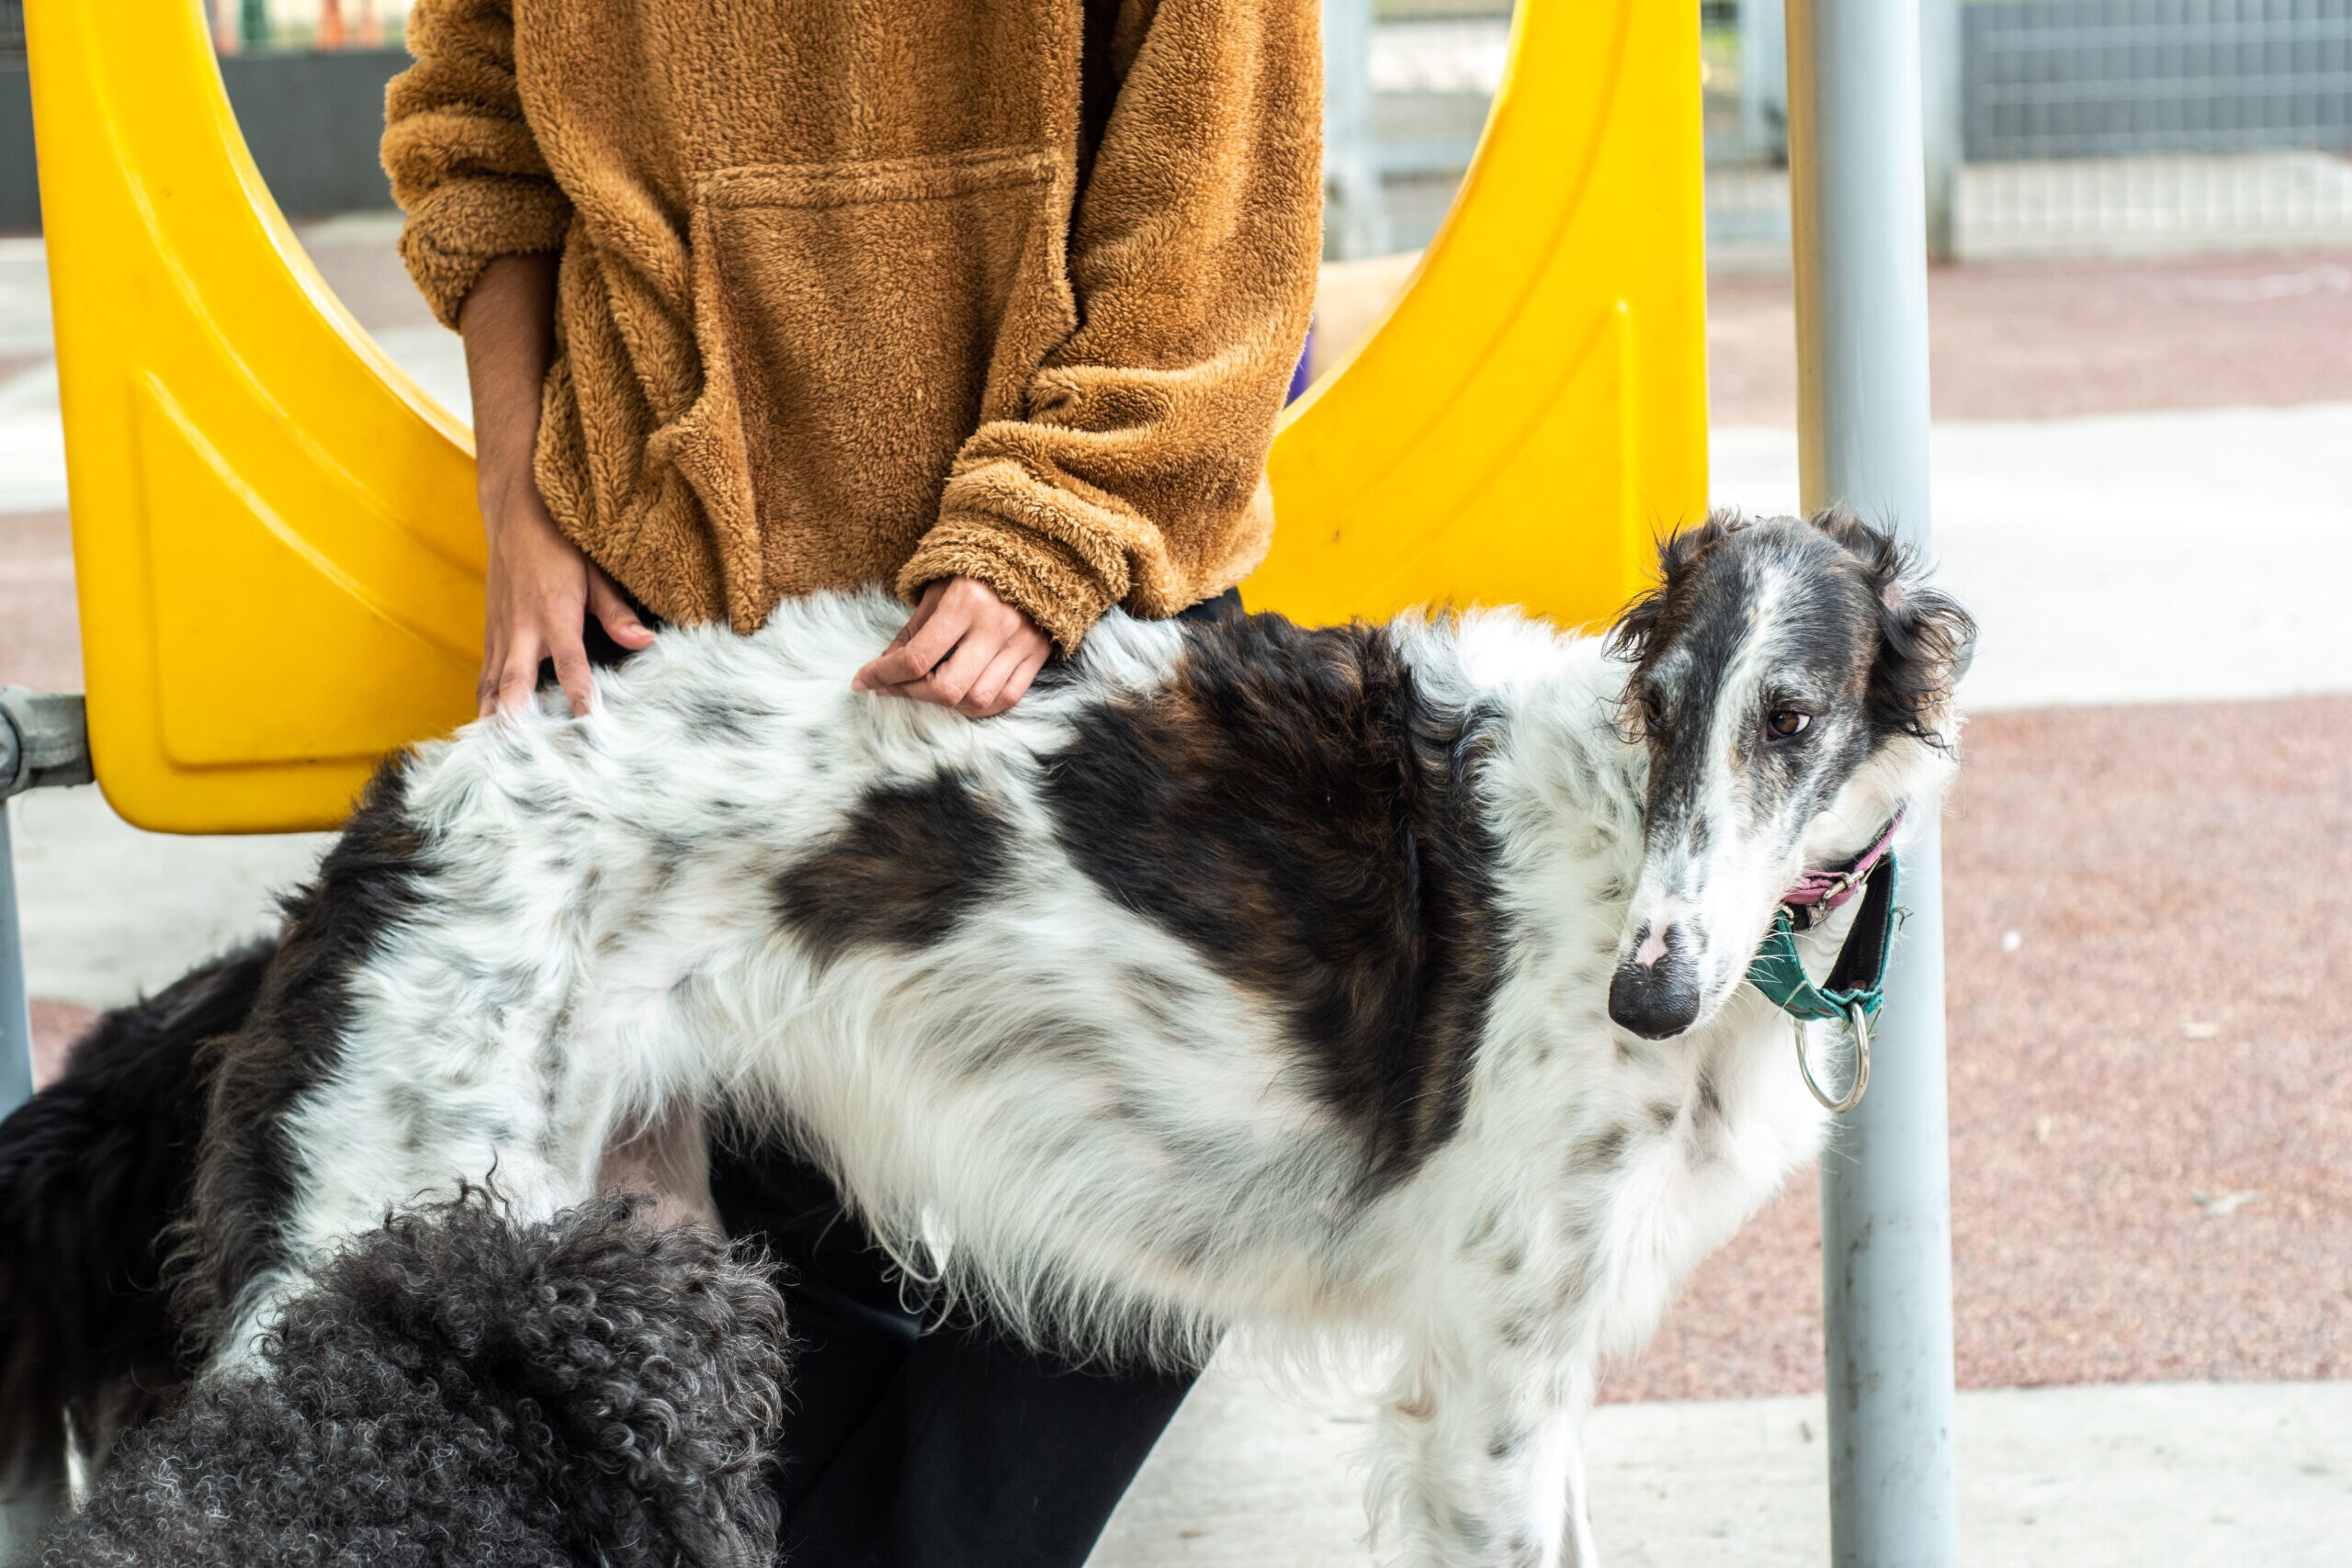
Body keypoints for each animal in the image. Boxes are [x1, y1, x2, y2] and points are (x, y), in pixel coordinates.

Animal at [0, 510, 1975, 1561]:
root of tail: (376, 843)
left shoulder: (1533, 1373)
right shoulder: (1496, 1379)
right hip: (387, 1273)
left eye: (1792, 718)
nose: (1649, 992)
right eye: (1663, 708)